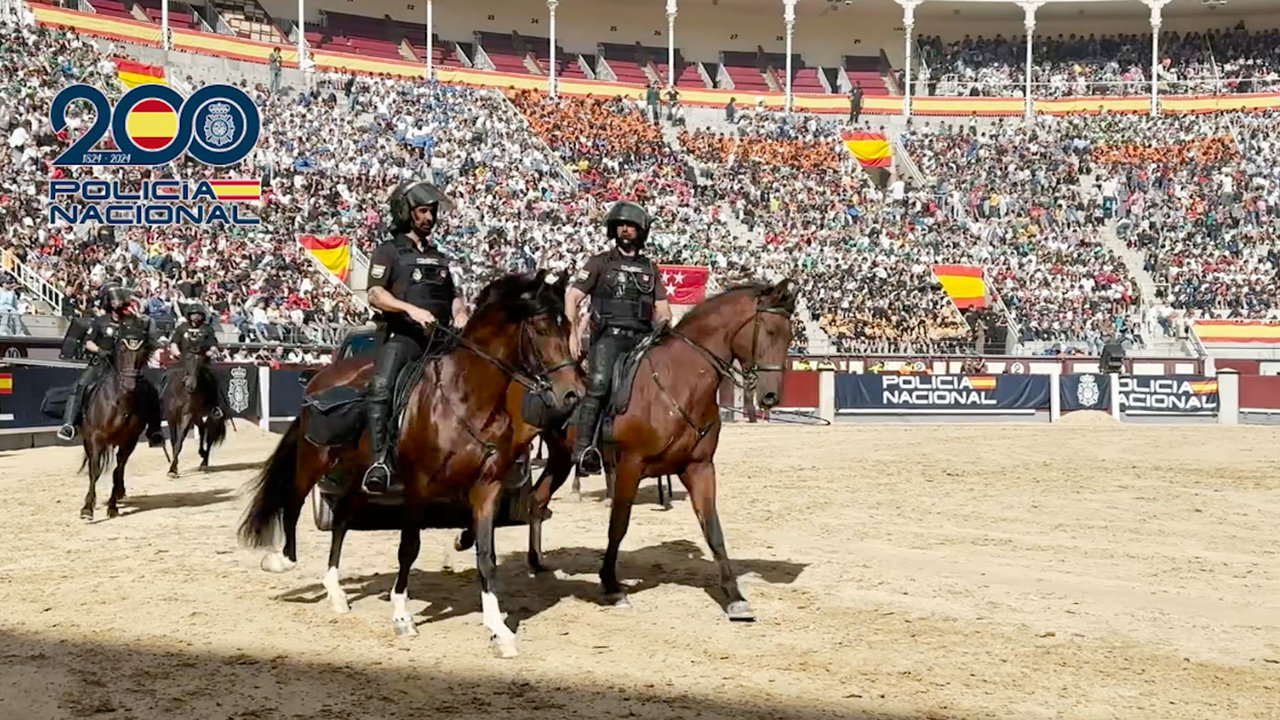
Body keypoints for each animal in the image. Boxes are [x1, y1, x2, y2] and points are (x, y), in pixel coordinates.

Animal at [77, 316, 160, 517]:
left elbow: (117, 470)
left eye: (143, 350)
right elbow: (95, 469)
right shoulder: (96, 437)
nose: (130, 384)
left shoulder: (129, 441)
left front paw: (112, 506)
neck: (120, 402)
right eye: (122, 348)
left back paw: (120, 493)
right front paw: (87, 508)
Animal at [161, 343, 229, 474]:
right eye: (187, 358)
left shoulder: (187, 415)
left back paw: (204, 462)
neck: (180, 391)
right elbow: (173, 441)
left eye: (201, 362)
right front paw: (173, 468)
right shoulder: (171, 417)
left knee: (209, 437)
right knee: (202, 429)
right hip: (197, 416)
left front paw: (173, 469)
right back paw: (202, 454)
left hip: (210, 417)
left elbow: (180, 441)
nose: (191, 386)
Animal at [238, 269, 583, 655]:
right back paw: (281, 560)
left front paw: (498, 630)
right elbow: (409, 548)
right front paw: (402, 616)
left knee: (341, 520)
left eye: (567, 326)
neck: (467, 396)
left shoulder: (487, 487)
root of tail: (320, 377)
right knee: (295, 500)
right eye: (540, 327)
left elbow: (485, 555)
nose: (572, 394)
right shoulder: (419, 487)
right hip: (315, 460)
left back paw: (336, 592)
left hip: (358, 474)